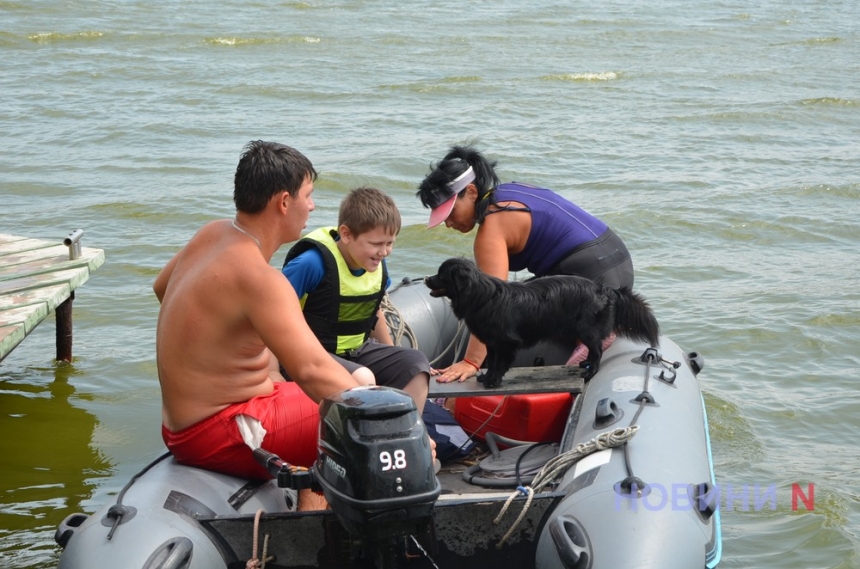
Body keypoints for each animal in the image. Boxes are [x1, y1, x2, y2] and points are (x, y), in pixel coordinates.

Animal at [426, 258, 660, 386]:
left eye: (441, 274)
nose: (427, 278)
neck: (481, 297)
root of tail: (606, 289)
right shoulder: (492, 343)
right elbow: (491, 362)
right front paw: (486, 379)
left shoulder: (506, 342)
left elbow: (500, 364)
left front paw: (493, 382)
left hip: (587, 330)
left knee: (597, 351)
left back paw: (590, 371)